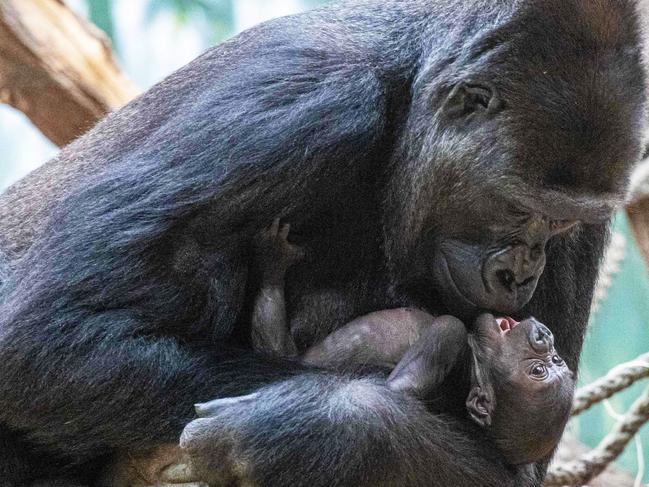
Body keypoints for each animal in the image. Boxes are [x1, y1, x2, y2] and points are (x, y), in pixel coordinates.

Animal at [240, 220, 576, 466]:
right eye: (550, 364)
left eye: (537, 372)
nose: (544, 338)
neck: (473, 359)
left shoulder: (448, 335)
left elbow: (394, 390)